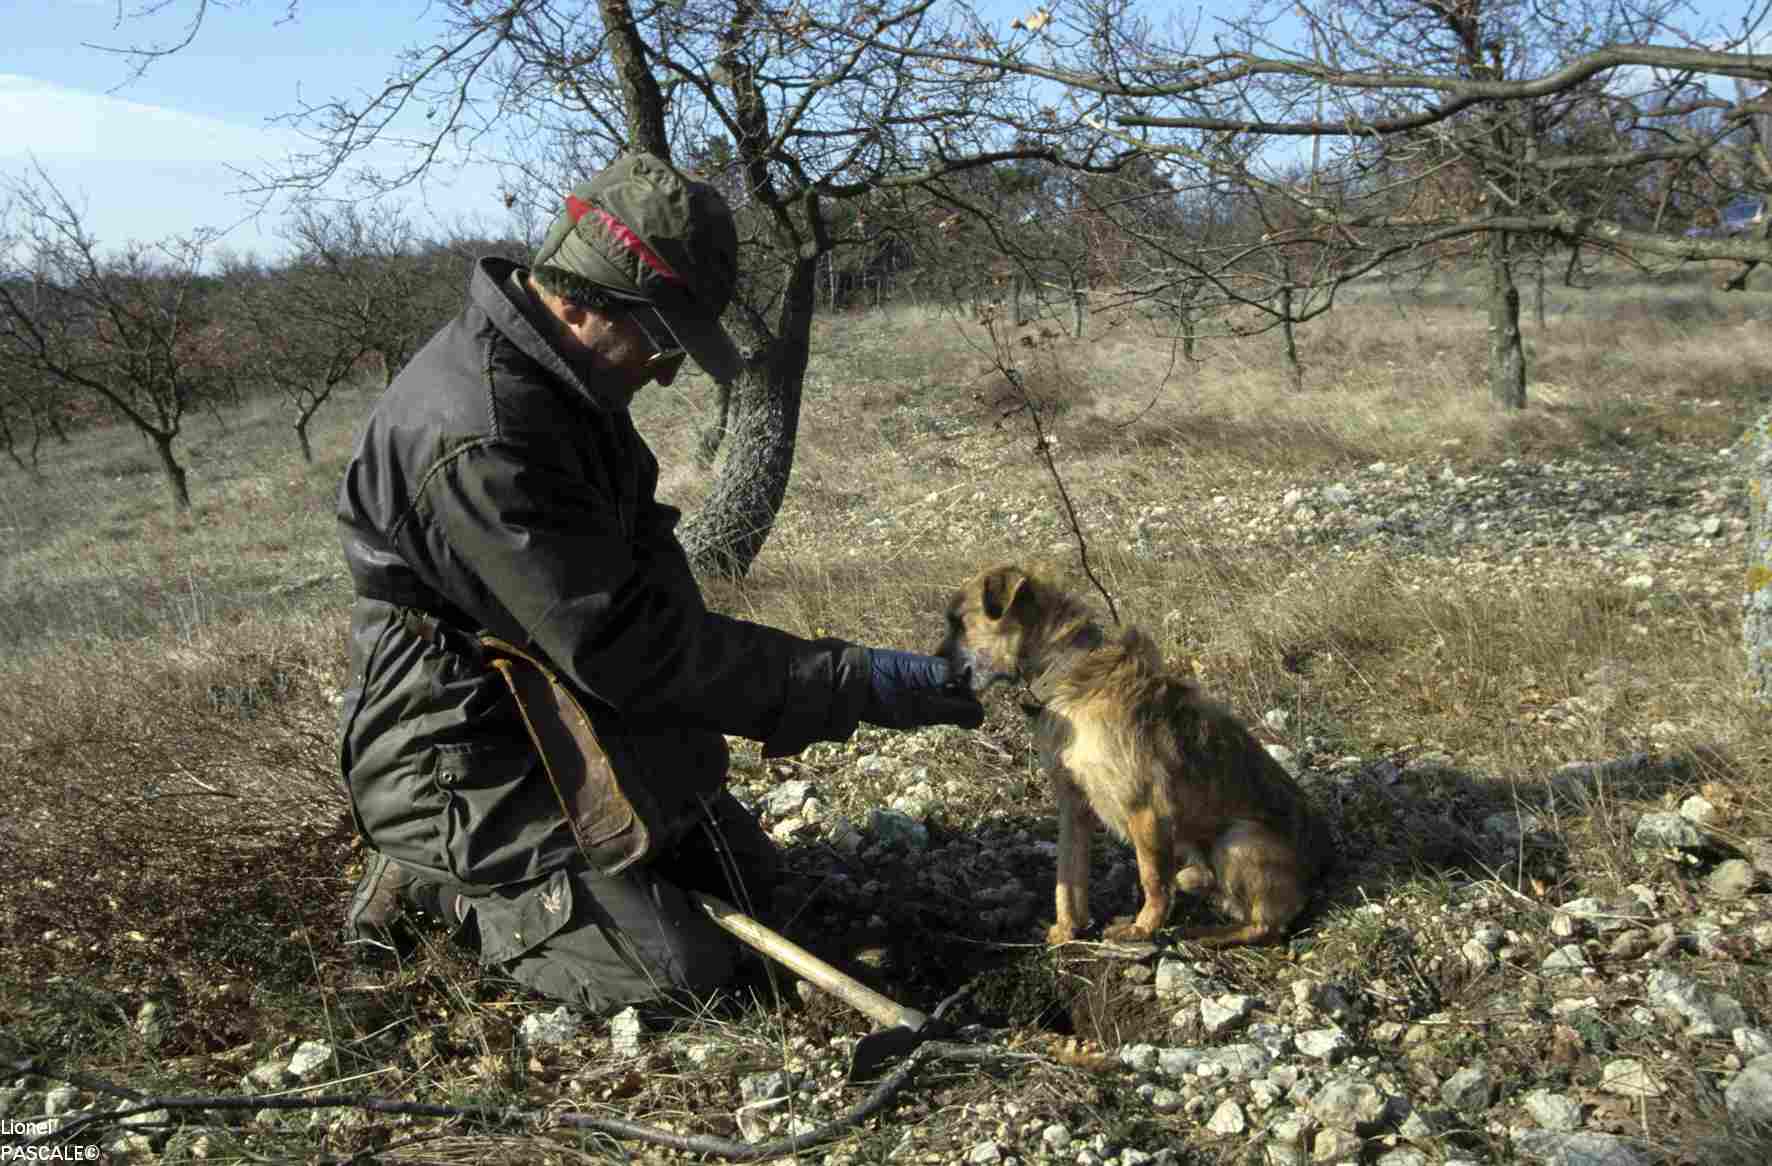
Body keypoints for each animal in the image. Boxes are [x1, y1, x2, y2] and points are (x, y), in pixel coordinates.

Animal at [942, 563, 1332, 942]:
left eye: (959, 623)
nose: (936, 665)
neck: (1066, 671)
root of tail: (1318, 873)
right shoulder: (1074, 805)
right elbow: (1069, 874)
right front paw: (1067, 929)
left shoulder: (1145, 808)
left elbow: (1152, 879)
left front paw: (1142, 929)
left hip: (1236, 838)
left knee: (1266, 926)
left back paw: (1204, 933)